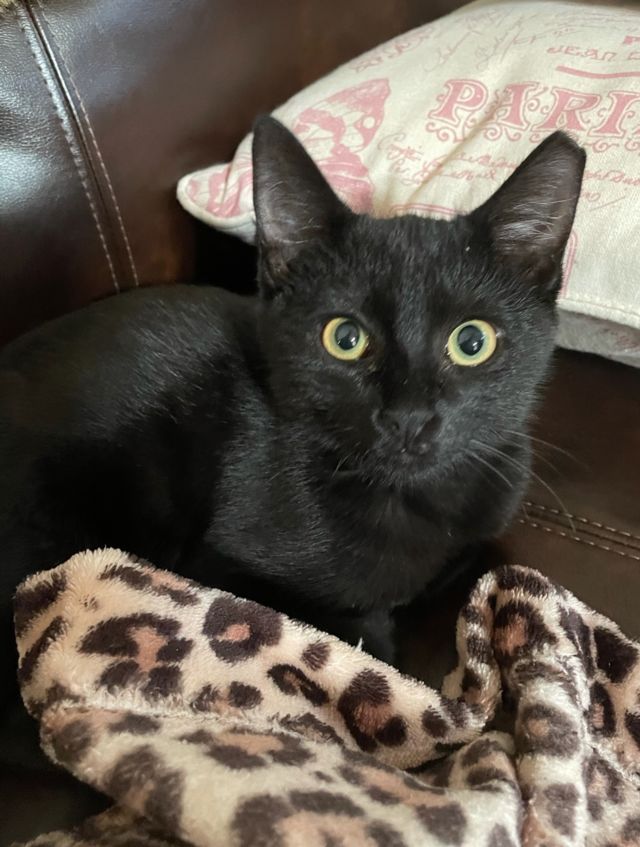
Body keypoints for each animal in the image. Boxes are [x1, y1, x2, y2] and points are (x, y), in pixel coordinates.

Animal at [0, 117, 585, 704]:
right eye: (344, 338)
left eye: (472, 342)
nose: (409, 417)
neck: (411, 503)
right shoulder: (218, 567)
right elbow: (364, 631)